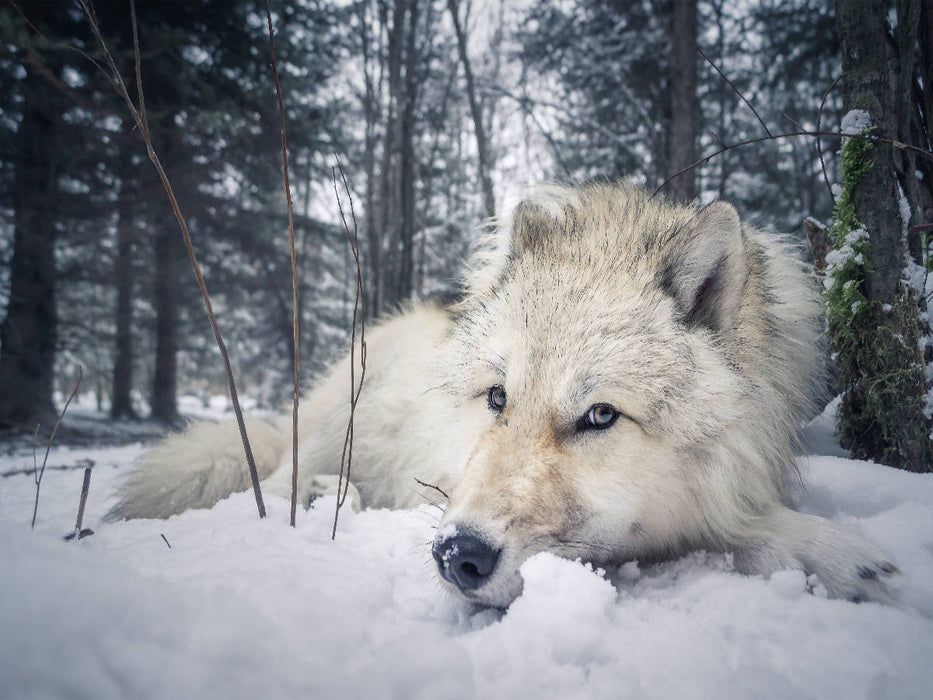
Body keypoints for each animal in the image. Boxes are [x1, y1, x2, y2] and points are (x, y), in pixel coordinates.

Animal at [108, 182, 897, 607]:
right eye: (496, 398)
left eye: (599, 415)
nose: (457, 554)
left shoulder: (712, 505)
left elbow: (744, 531)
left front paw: (843, 562)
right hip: (341, 413)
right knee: (273, 479)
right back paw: (324, 495)